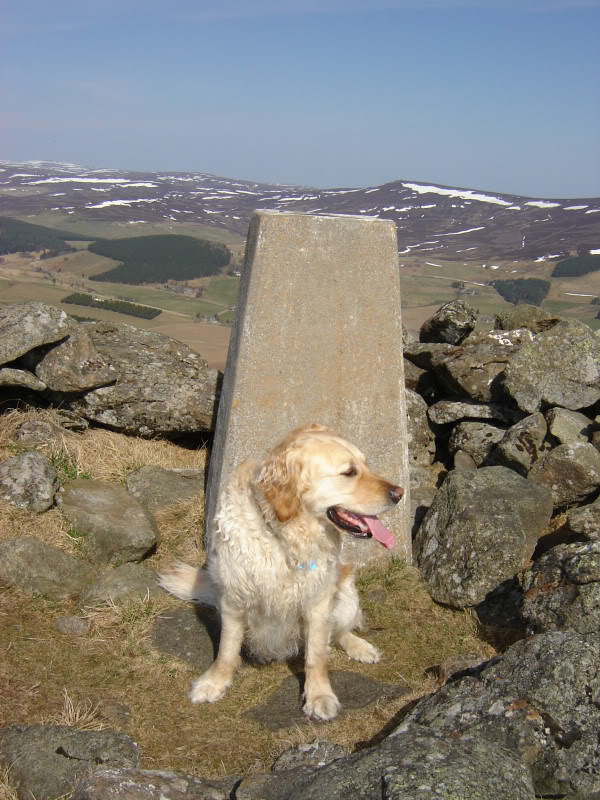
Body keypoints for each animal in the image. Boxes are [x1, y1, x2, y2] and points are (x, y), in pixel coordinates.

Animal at [159, 423, 403, 721]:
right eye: (349, 472)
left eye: (366, 465)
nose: (400, 493)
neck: (284, 533)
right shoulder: (234, 598)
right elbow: (227, 650)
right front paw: (214, 683)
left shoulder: (318, 601)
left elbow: (316, 657)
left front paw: (319, 695)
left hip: (345, 595)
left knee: (340, 631)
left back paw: (360, 647)